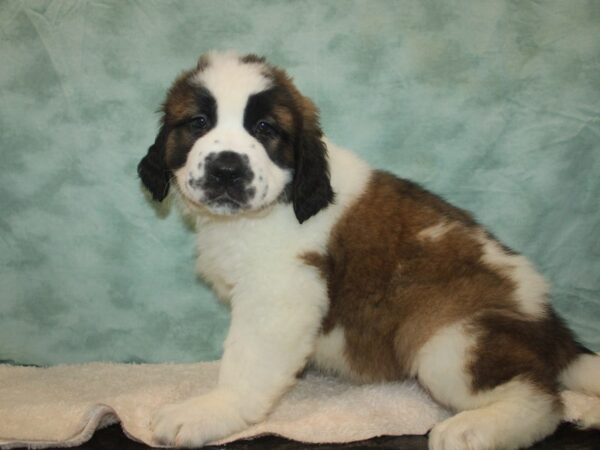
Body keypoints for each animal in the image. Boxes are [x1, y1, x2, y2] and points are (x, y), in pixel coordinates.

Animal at [138, 52, 600, 450]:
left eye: (266, 129)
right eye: (198, 122)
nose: (227, 169)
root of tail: (551, 324)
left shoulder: (280, 293)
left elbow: (246, 362)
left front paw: (210, 411)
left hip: (450, 339)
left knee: (541, 399)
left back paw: (474, 429)